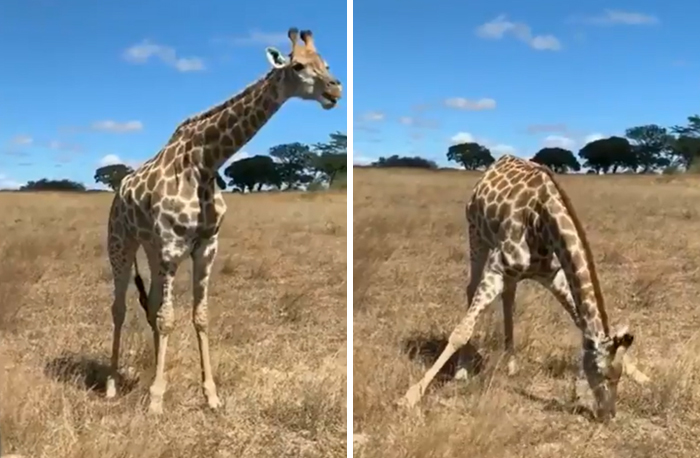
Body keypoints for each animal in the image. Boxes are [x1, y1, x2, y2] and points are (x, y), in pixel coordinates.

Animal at [103, 27, 342, 414]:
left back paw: (153, 372)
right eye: (298, 66)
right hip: (121, 243)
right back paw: (111, 385)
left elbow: (198, 316)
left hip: (152, 250)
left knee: (150, 305)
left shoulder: (206, 245)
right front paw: (156, 401)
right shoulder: (172, 245)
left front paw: (210, 395)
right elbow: (168, 319)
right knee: (120, 308)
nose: (335, 90)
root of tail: (119, 189)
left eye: (327, 64)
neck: (206, 161)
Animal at [401, 155, 649, 421]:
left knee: (509, 296)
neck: (543, 221)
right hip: (476, 234)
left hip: (508, 268)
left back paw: (510, 363)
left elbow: (579, 319)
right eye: (602, 373)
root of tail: (497, 162)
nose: (608, 414)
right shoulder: (497, 269)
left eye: (619, 375)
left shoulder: (552, 275)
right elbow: (461, 332)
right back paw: (463, 369)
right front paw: (411, 395)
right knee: (471, 289)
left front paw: (640, 374)